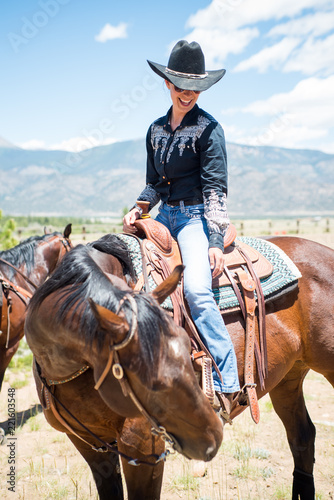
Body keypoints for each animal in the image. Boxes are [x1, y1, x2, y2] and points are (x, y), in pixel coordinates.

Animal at [24, 236, 223, 500]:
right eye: (153, 384)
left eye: (185, 343)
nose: (214, 437)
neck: (65, 369)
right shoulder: (89, 443)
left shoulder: (142, 450)